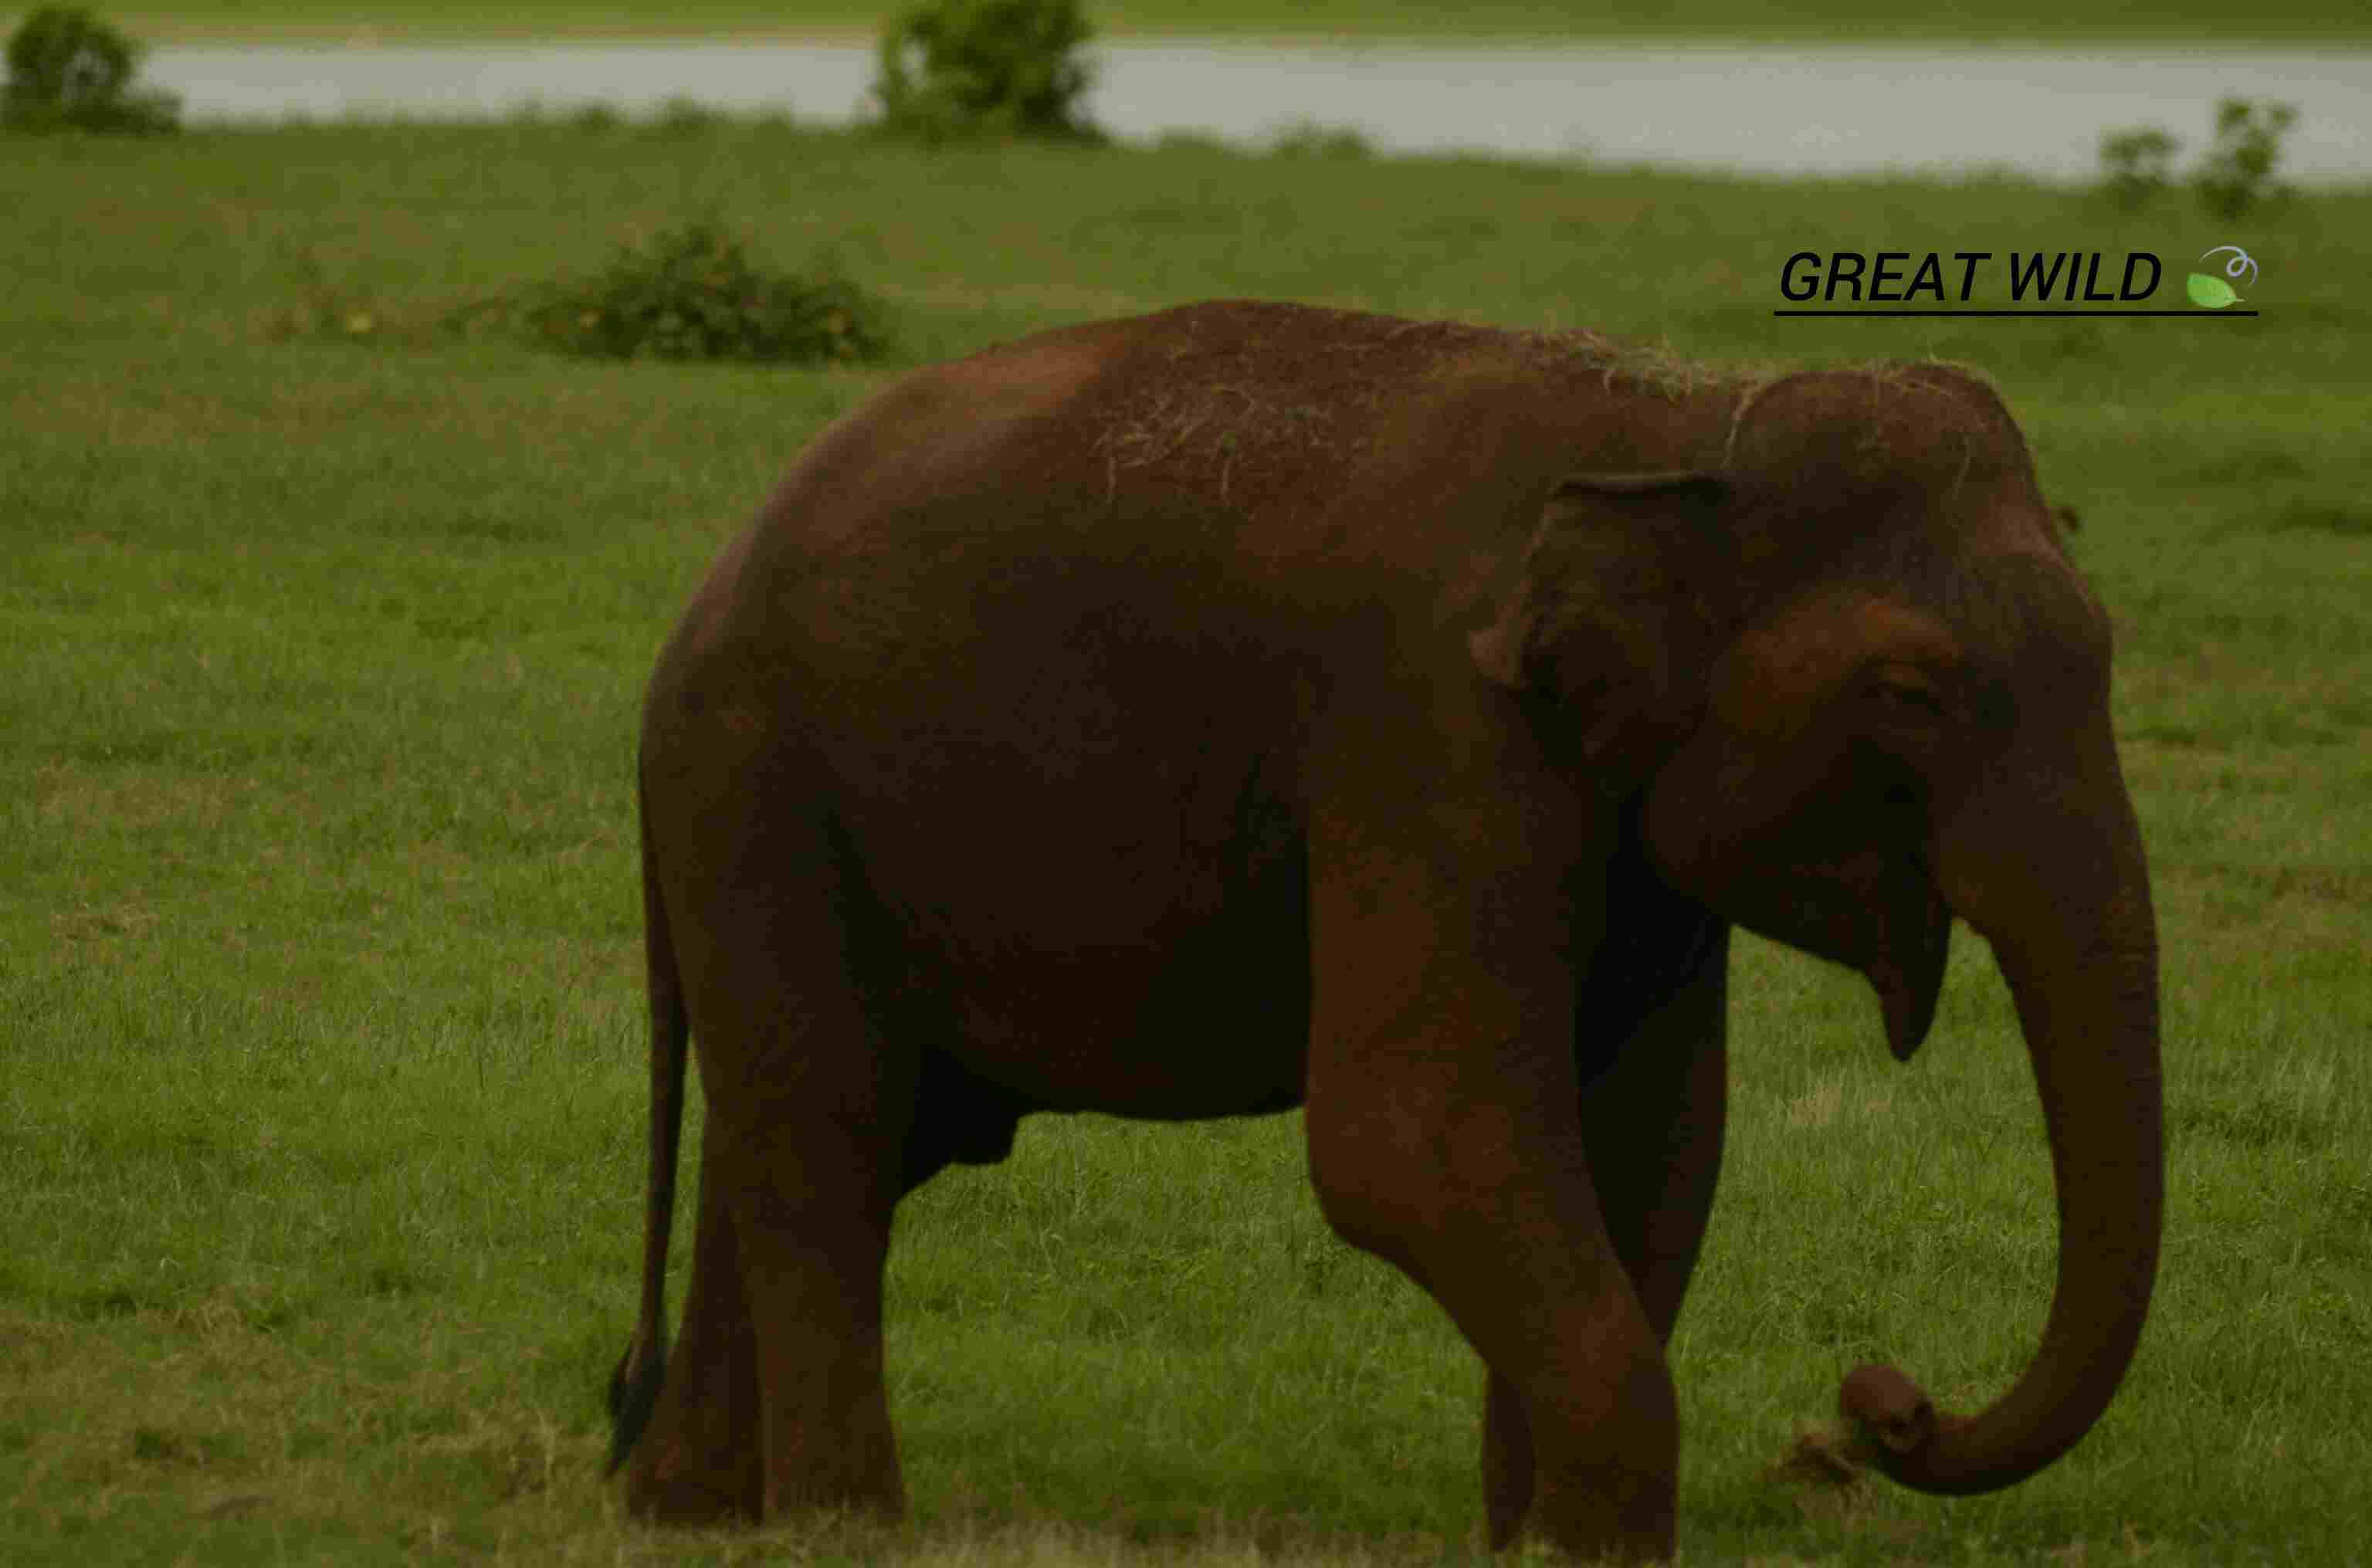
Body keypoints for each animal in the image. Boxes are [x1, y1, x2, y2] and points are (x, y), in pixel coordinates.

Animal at [605, 300, 2161, 1561]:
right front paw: (1589, 1546)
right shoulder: (1427, 724)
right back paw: (842, 1527)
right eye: (1911, 694)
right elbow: (1413, 1143)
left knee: (806, 1138)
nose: (1880, 1404)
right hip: (757, 792)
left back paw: (689, 1512)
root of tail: (695, 601)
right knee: (829, 1129)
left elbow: (1653, 1145)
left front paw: (1541, 1548)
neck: (1679, 415)